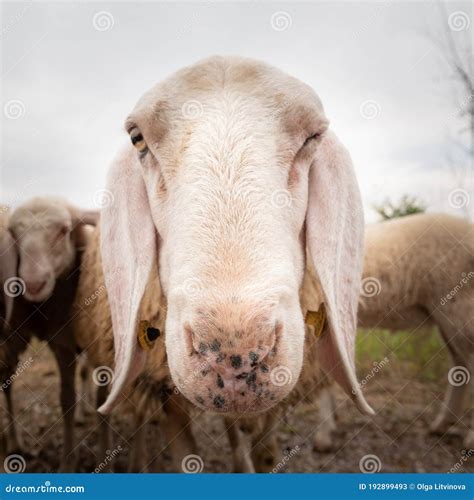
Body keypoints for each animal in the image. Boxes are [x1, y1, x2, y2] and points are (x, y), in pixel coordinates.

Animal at [0, 197, 97, 470]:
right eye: (14, 234)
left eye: (64, 230)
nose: (33, 284)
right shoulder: (24, 337)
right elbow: (7, 383)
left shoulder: (68, 341)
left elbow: (68, 399)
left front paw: (68, 461)